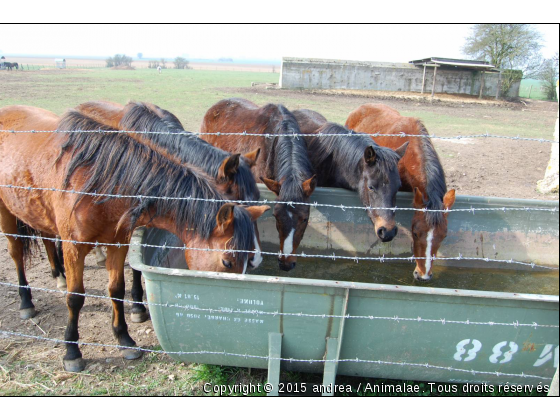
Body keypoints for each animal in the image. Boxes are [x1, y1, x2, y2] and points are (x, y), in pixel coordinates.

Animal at [0, 105, 272, 370]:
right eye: (227, 262)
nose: (258, 259)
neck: (101, 182)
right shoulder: (74, 247)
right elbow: (75, 297)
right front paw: (72, 351)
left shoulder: (119, 240)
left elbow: (117, 287)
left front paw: (126, 338)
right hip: (8, 215)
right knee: (17, 254)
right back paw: (27, 302)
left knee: (46, 238)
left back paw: (59, 275)